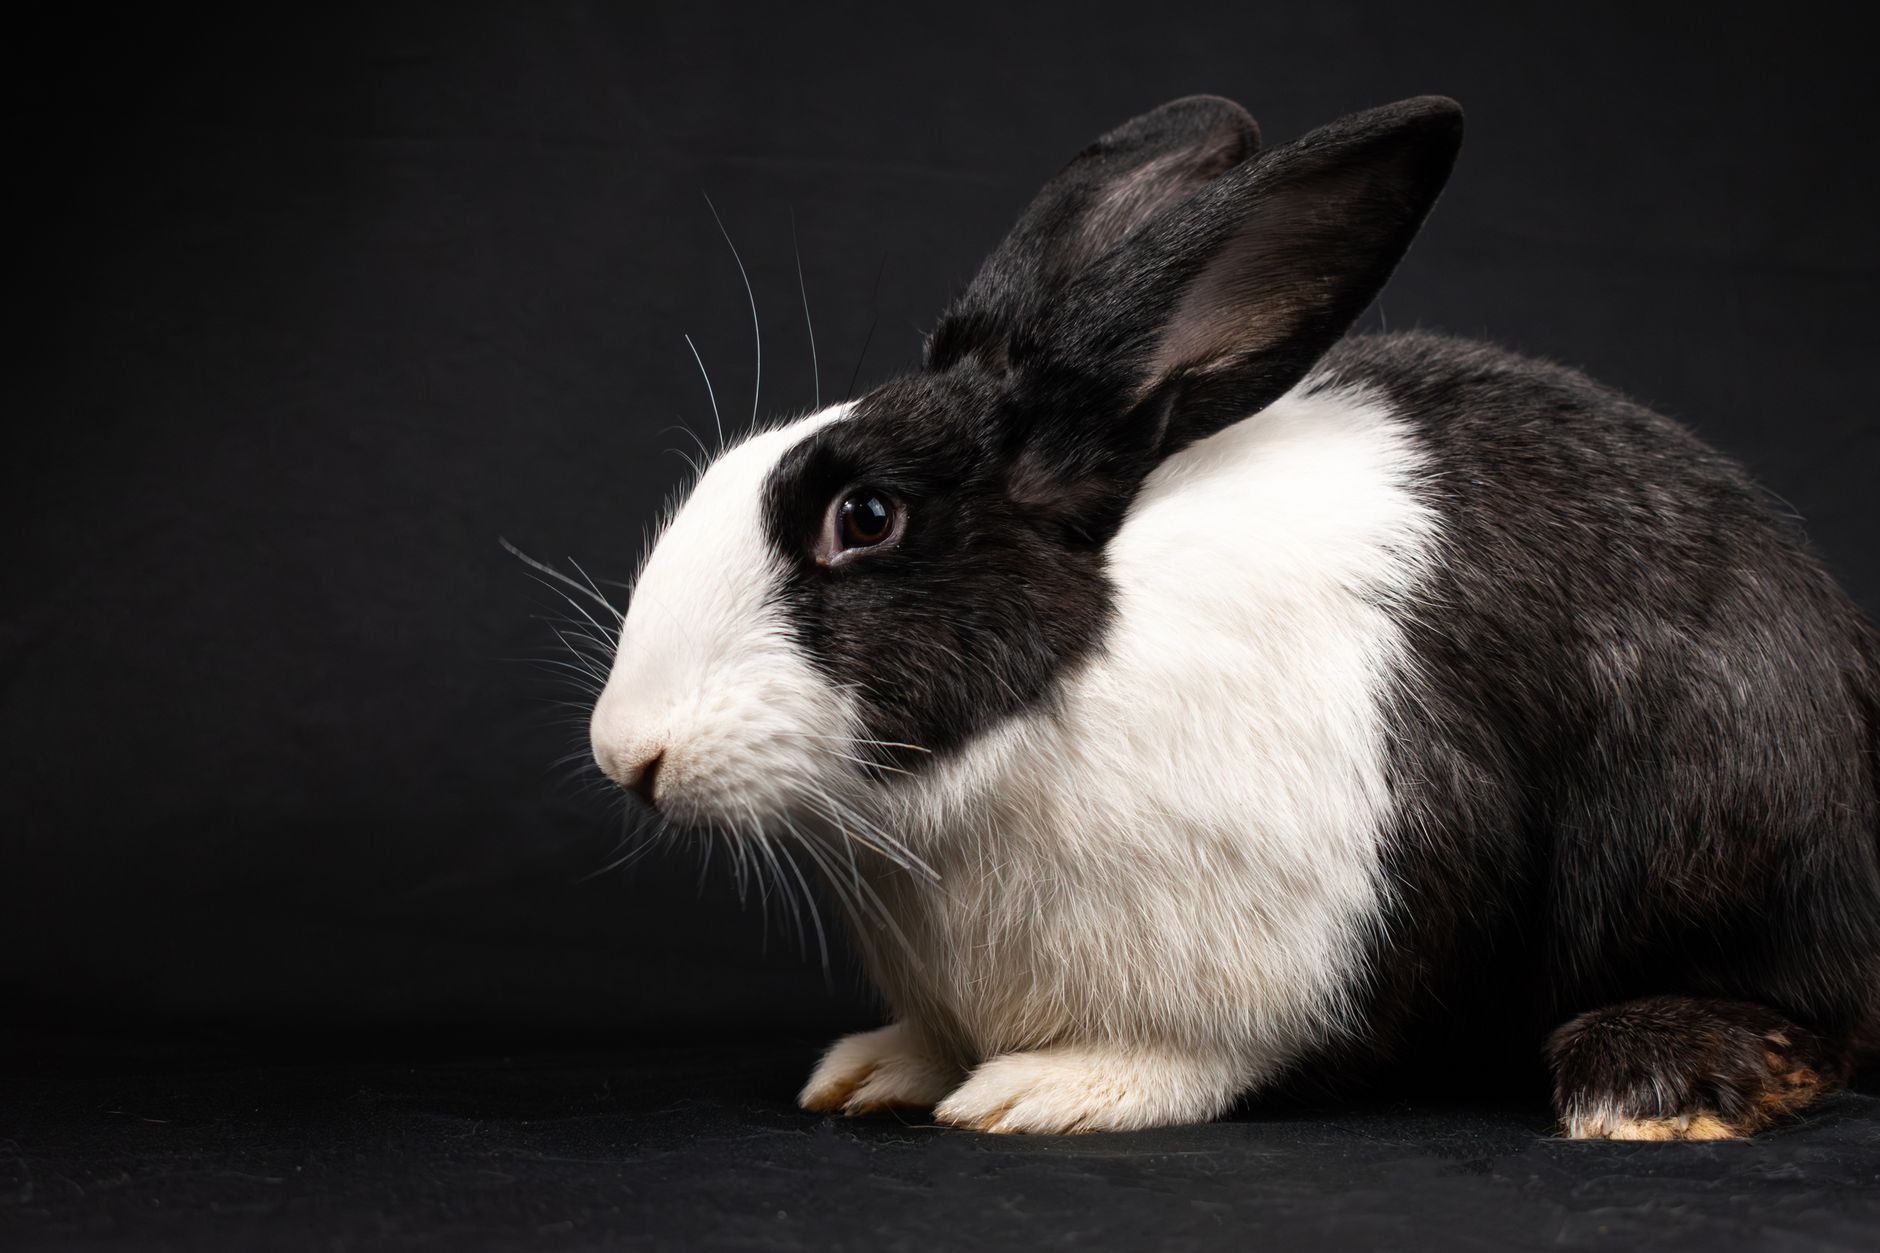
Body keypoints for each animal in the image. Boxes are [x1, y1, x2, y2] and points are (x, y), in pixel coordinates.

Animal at [586, 94, 1880, 1139]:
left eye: (863, 516)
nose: (623, 752)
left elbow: (1203, 1053)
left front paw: (1045, 1090)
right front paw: (872, 1069)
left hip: (1718, 810)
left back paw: (1643, 1084)